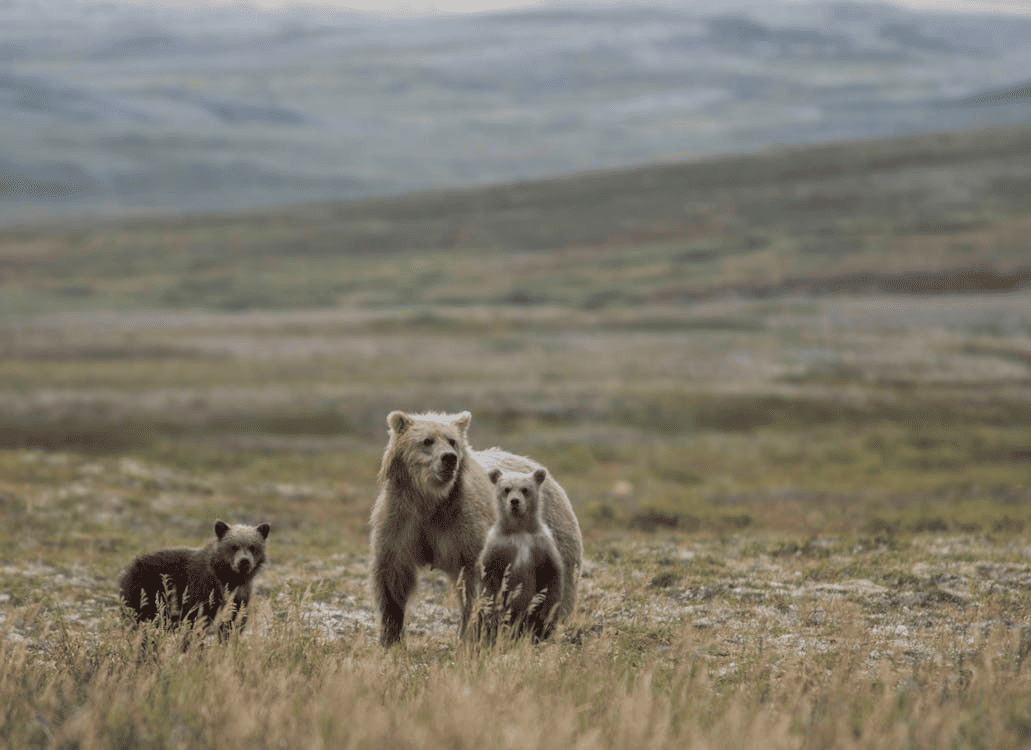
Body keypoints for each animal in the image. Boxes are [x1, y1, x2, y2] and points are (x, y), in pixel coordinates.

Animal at [119, 520, 270, 639]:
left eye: (253, 546)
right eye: (234, 546)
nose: (244, 562)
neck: (229, 578)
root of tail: (127, 569)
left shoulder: (240, 595)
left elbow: (233, 621)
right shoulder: (203, 588)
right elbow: (197, 619)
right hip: (146, 591)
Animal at [478, 467, 565, 643]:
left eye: (525, 489)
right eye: (506, 489)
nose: (514, 501)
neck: (519, 530)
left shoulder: (541, 544)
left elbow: (553, 574)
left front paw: (546, 613)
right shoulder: (497, 546)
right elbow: (489, 578)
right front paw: (493, 612)